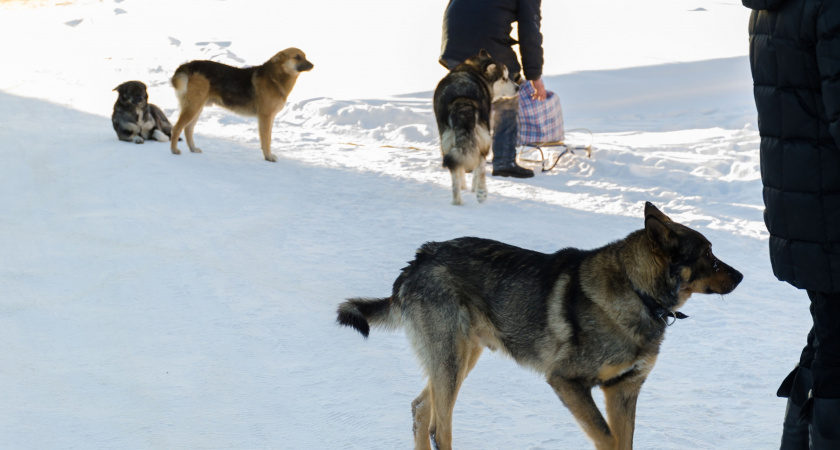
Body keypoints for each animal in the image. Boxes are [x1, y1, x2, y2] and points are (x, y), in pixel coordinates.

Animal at [169, 47, 314, 163]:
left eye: (305, 56)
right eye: (297, 57)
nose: (312, 65)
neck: (275, 78)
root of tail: (189, 65)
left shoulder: (269, 118)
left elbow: (267, 138)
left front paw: (267, 154)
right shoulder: (266, 117)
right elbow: (267, 139)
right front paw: (268, 157)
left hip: (197, 107)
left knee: (188, 129)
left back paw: (193, 149)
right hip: (193, 107)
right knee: (176, 128)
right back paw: (174, 150)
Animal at [334, 203, 740, 450]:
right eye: (707, 254)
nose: (741, 276)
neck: (636, 290)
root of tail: (418, 259)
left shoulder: (623, 390)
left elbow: (621, 441)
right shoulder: (567, 381)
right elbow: (608, 439)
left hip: (461, 357)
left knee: (421, 409)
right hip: (451, 361)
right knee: (439, 427)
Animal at [434, 50, 520, 205]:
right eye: (504, 78)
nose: (518, 87)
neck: (473, 71)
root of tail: (462, 100)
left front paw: (463, 186)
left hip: (447, 141)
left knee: (455, 169)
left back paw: (457, 200)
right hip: (484, 138)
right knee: (480, 168)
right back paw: (481, 193)